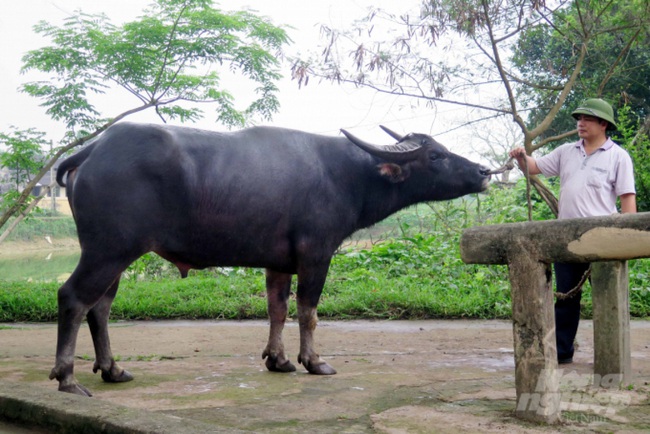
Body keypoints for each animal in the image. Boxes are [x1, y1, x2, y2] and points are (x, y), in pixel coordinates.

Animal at [49, 122, 486, 396]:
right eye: (435, 155)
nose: (483, 171)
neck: (346, 175)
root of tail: (93, 150)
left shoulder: (278, 263)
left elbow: (277, 310)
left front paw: (278, 360)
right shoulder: (316, 254)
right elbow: (308, 311)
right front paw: (313, 361)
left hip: (116, 255)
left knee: (100, 307)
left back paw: (112, 369)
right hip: (108, 250)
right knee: (74, 298)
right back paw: (67, 378)